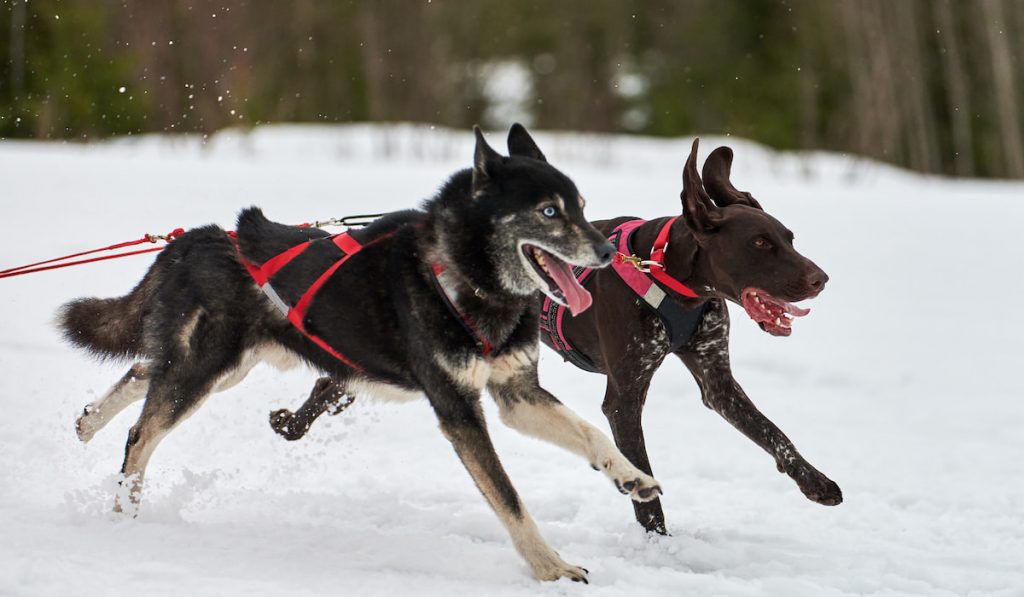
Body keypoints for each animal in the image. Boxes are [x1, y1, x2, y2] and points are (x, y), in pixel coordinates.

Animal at [270, 138, 839, 536]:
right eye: (760, 244)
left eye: (789, 238)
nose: (821, 279)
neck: (671, 280)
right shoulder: (623, 398)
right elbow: (641, 474)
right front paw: (658, 539)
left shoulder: (717, 380)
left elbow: (774, 435)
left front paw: (816, 482)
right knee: (330, 384)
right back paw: (291, 425)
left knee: (334, 385)